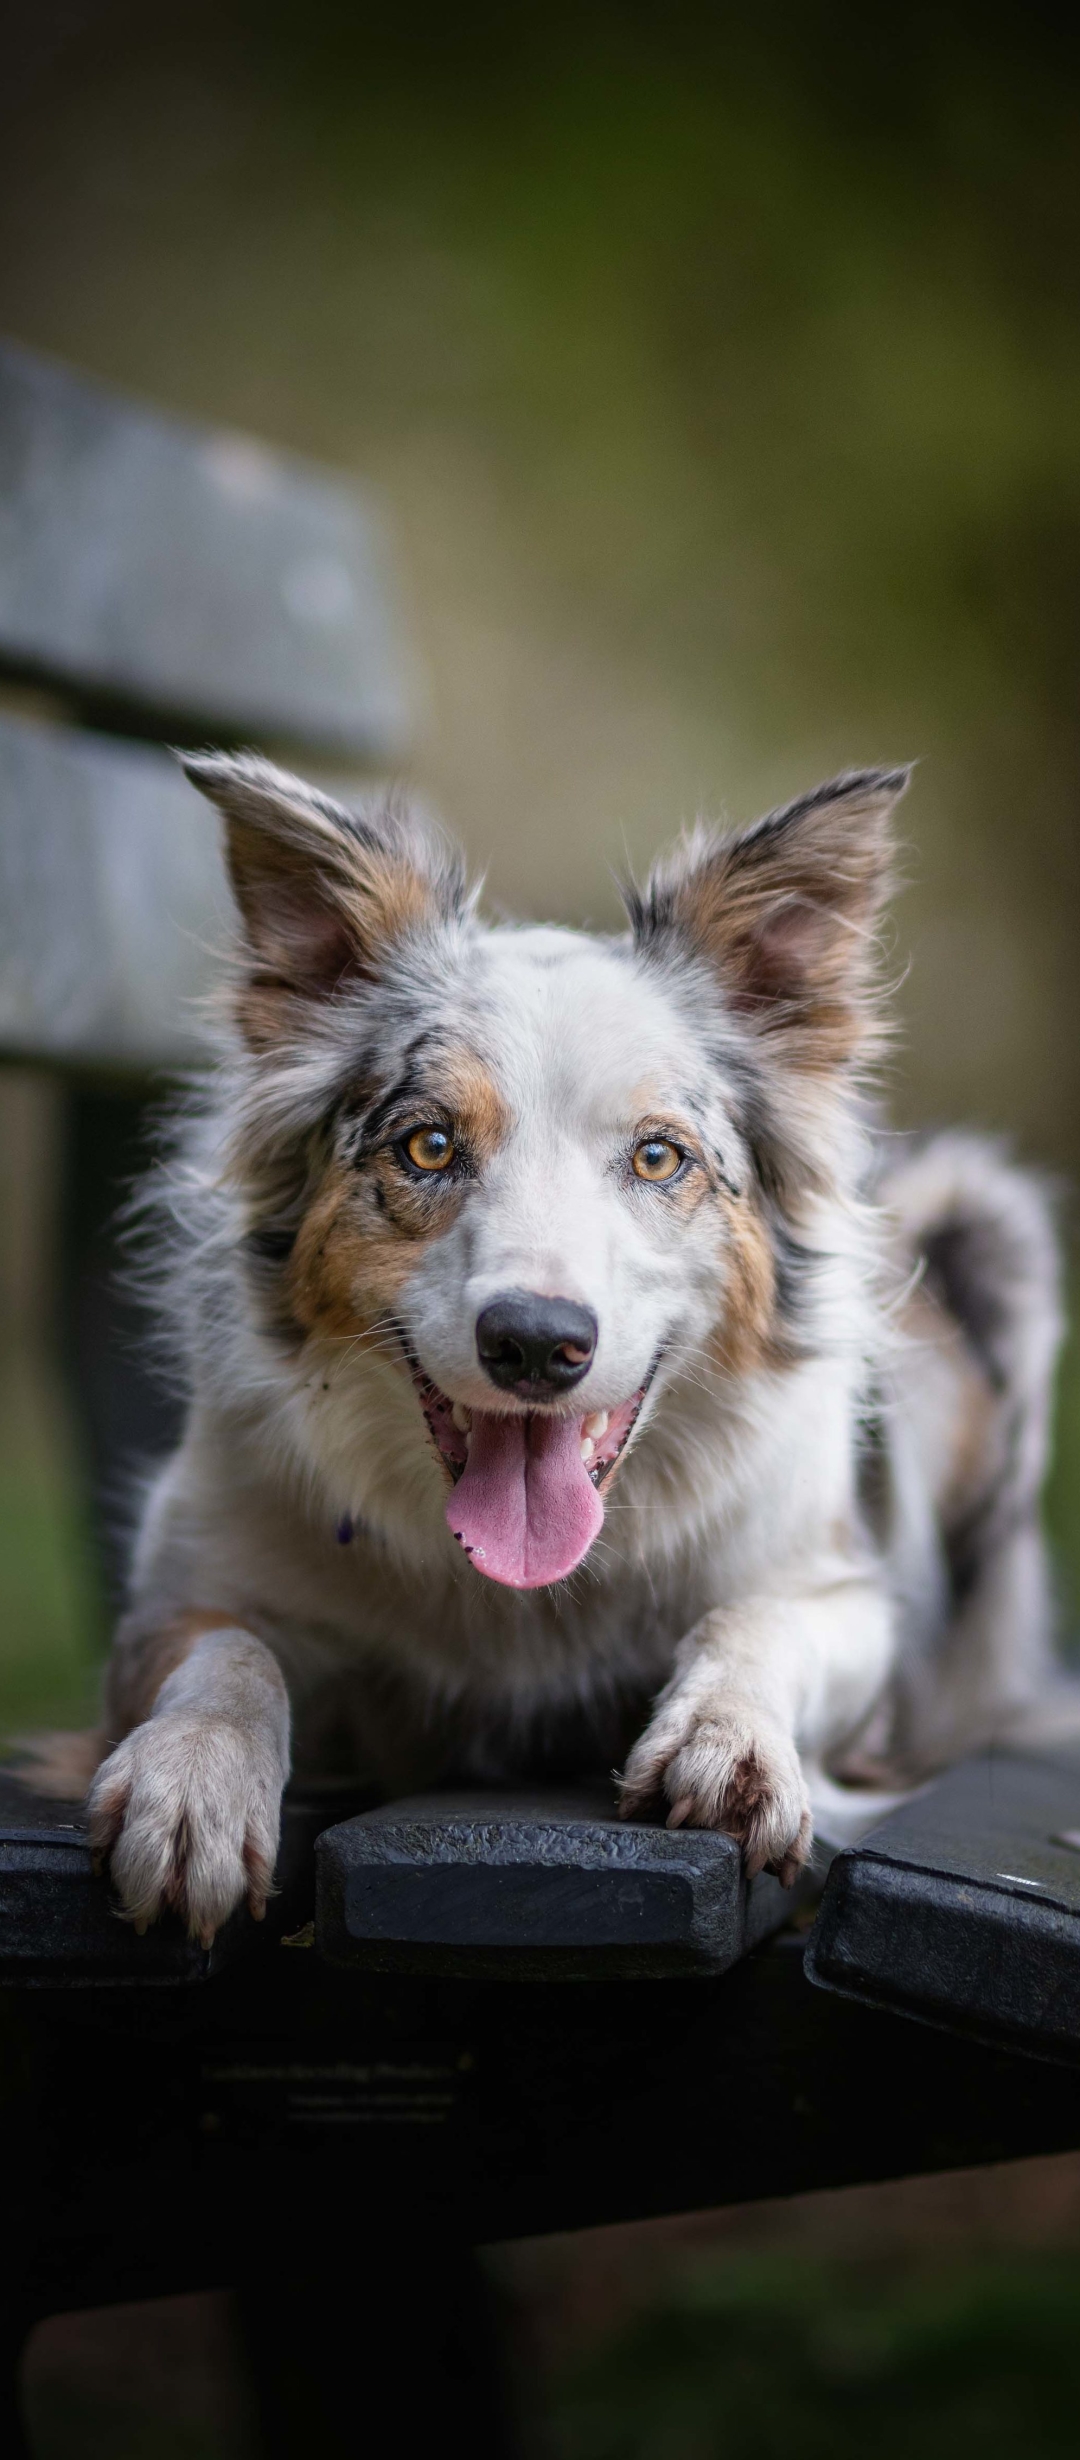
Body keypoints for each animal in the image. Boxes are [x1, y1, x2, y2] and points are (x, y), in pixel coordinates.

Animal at [52, 747, 1067, 1938]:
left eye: (660, 1157)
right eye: (429, 1146)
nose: (537, 1344)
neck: (520, 1605)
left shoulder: (846, 1596)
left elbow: (759, 1620)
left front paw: (729, 1741)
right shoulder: (172, 1598)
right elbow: (228, 1650)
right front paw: (192, 1784)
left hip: (983, 1226)